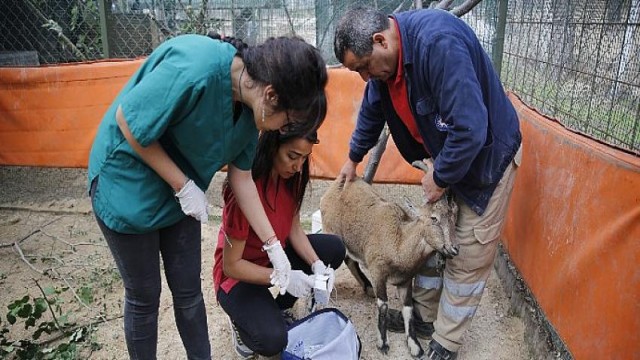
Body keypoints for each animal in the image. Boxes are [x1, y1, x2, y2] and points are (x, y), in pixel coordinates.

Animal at [322, 162, 458, 358]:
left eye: (454, 217)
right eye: (434, 218)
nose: (454, 248)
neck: (399, 242)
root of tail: (336, 184)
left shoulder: (405, 280)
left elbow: (408, 309)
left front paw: (415, 346)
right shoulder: (378, 271)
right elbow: (383, 305)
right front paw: (383, 344)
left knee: (350, 260)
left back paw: (367, 288)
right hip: (331, 232)